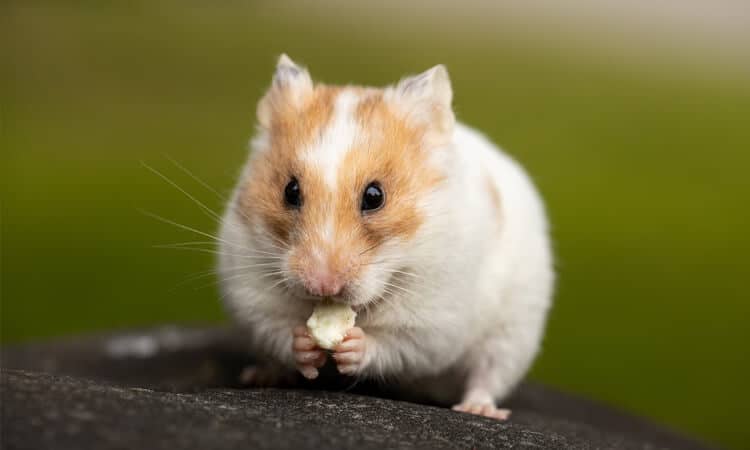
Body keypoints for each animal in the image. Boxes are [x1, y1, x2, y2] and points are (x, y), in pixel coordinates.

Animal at [220, 54, 556, 420]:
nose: (322, 286)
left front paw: (353, 345)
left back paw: (478, 409)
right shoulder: (253, 294)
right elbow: (279, 330)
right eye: (290, 191)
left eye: (374, 196)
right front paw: (306, 344)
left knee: (488, 374)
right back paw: (260, 375)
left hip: (513, 333)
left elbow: (394, 345)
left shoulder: (432, 322)